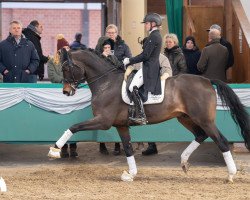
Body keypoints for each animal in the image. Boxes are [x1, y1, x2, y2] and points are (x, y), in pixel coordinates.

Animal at [48, 48, 250, 183]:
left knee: (221, 141)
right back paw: (184, 162)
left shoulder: (103, 121)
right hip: (185, 118)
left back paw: (230, 175)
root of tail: (207, 80)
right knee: (200, 135)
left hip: (204, 120)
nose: (66, 92)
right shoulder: (121, 125)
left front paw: (55, 150)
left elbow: (74, 127)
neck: (106, 83)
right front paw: (131, 174)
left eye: (66, 68)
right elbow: (128, 148)